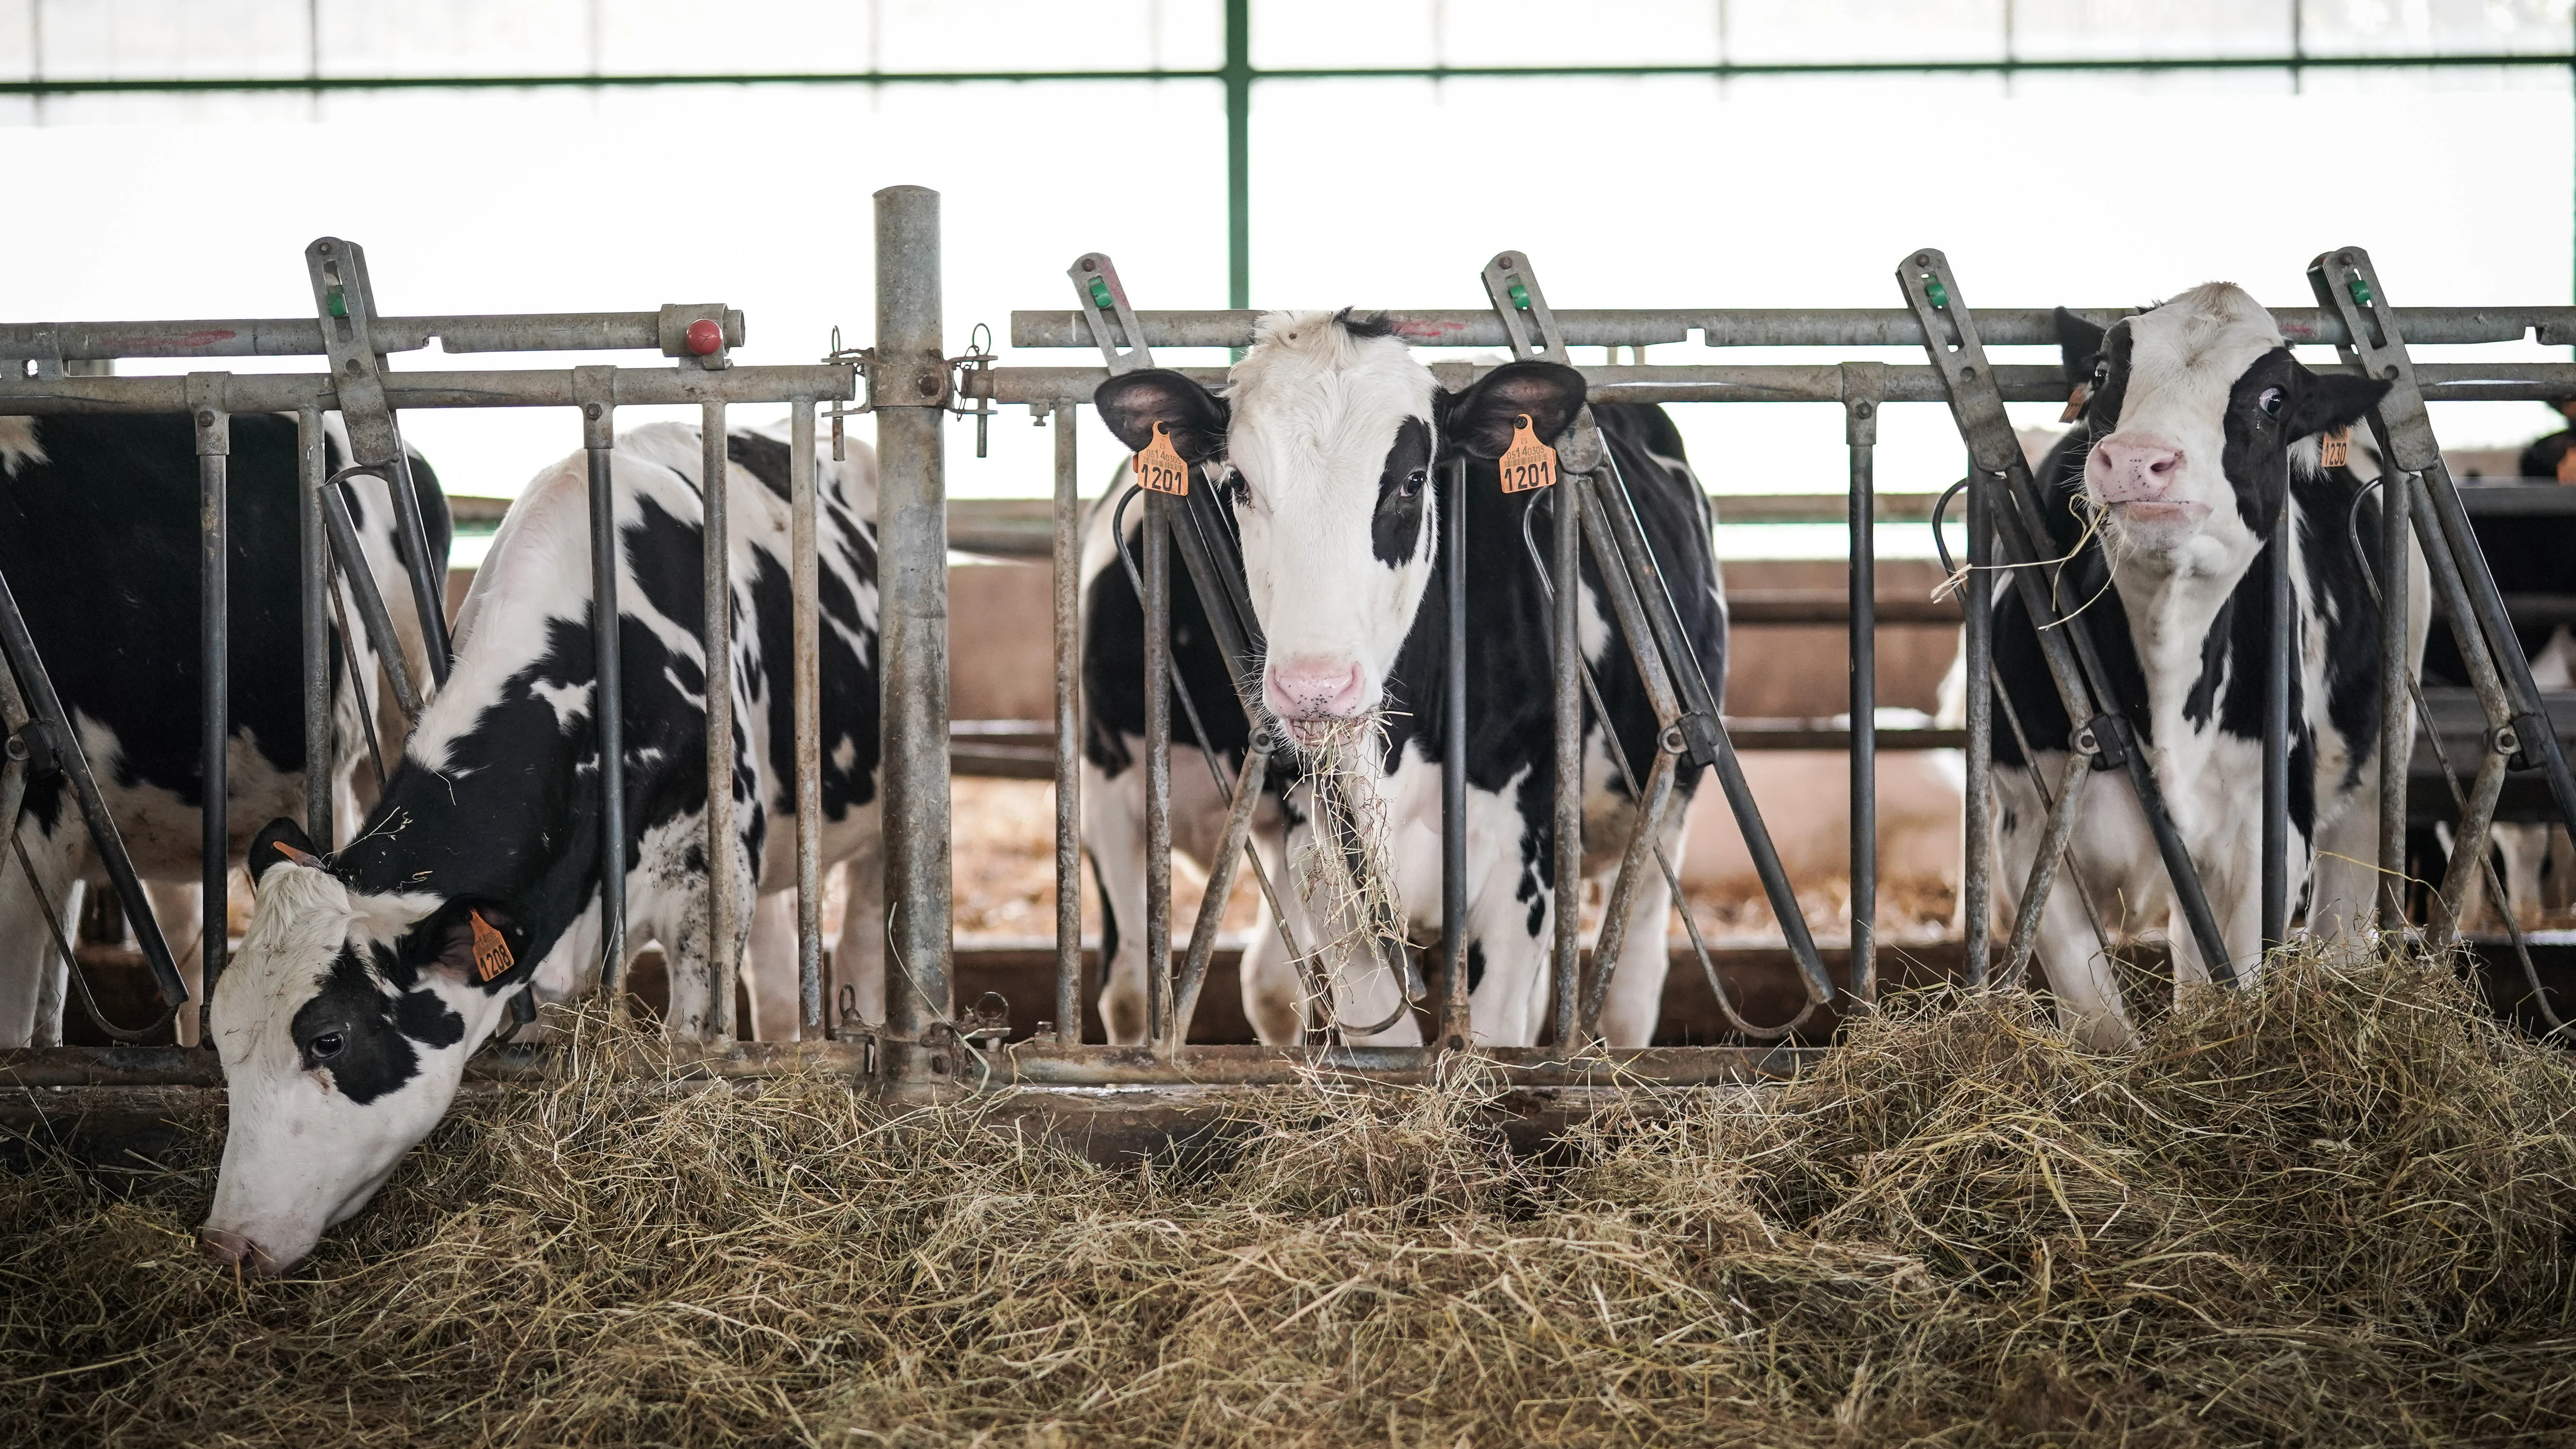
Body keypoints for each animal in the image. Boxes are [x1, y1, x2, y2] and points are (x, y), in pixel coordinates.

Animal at [1077, 311, 1721, 1050]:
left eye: (1413, 481)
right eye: (1237, 481)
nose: (1315, 687)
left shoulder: (1519, 865)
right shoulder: (1320, 865)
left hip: (1665, 806)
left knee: (1631, 982)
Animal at [1989, 283, 2432, 1050]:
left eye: (2274, 399)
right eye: (2103, 372)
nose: (2136, 459)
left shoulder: (2260, 840)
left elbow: (2215, 989)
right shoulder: (2028, 832)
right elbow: (2099, 1023)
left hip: (2379, 764)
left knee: (2343, 923)